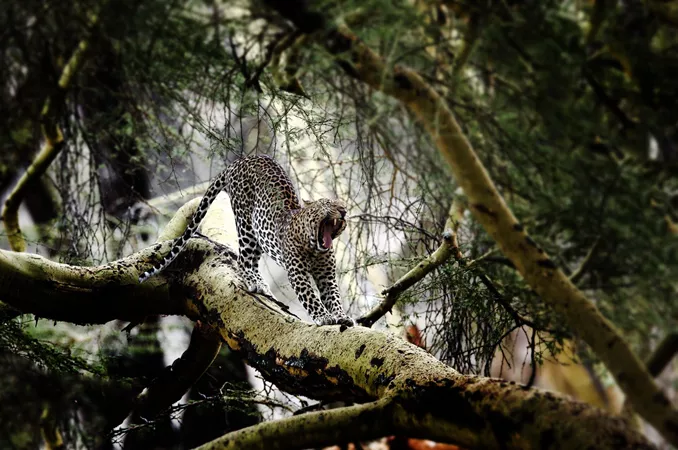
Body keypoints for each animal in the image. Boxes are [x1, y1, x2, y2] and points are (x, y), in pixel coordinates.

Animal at [139, 154, 354, 327]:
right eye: (328, 203)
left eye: (343, 204)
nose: (343, 210)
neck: (315, 246)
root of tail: (240, 160)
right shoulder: (297, 273)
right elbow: (310, 296)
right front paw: (323, 317)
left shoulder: (326, 275)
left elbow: (334, 296)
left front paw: (341, 316)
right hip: (246, 226)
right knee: (244, 260)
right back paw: (255, 283)